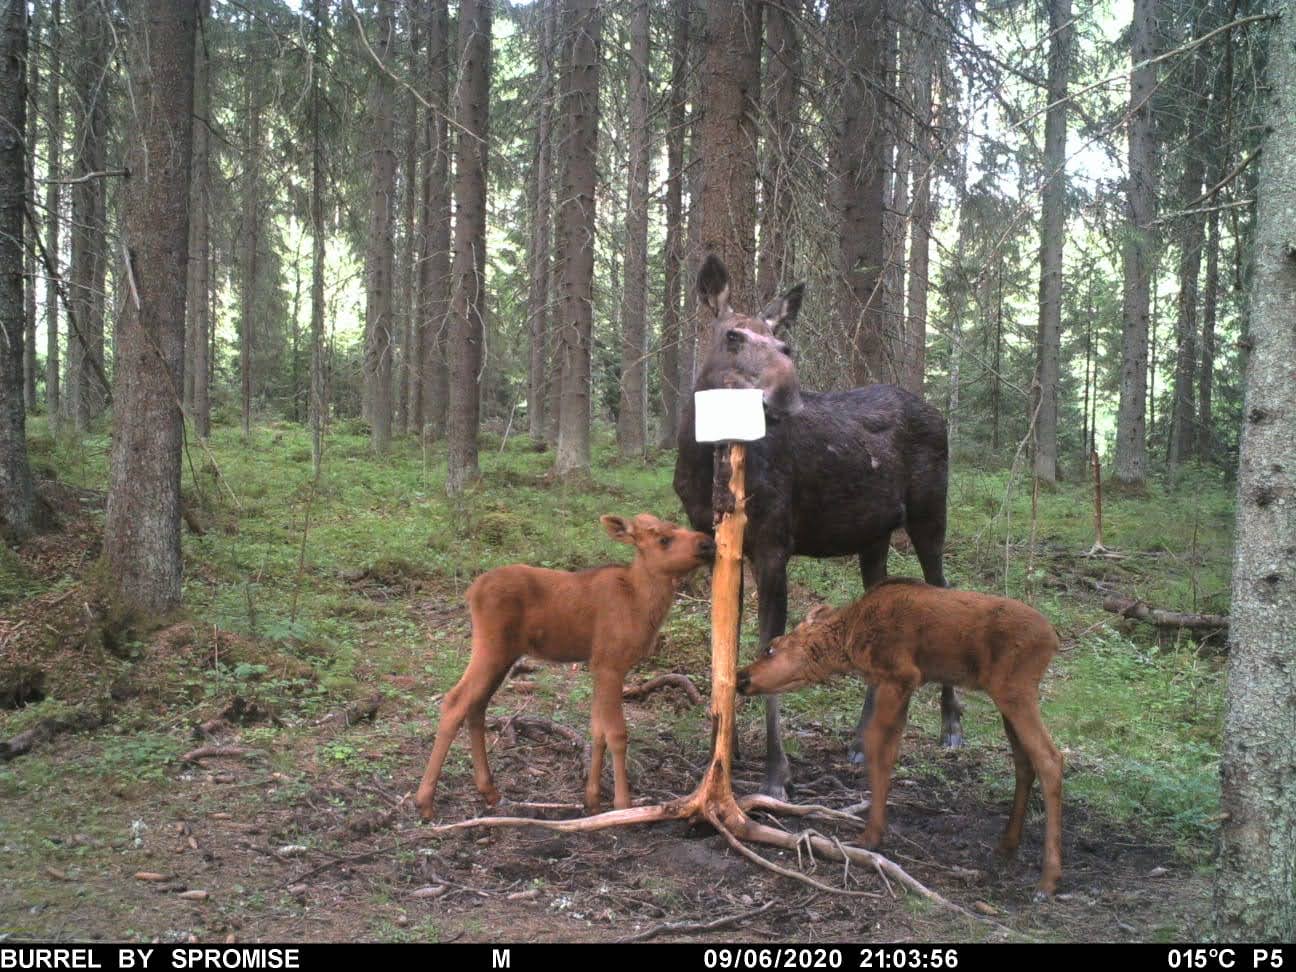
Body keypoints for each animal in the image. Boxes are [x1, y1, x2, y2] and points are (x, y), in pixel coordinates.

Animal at [414, 514, 716, 821]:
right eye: (664, 539)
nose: (708, 543)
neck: (642, 603)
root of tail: (471, 591)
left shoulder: (597, 666)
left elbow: (597, 730)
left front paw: (592, 800)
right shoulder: (610, 663)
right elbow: (617, 734)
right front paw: (623, 804)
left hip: (504, 655)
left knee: (477, 706)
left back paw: (489, 790)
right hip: (490, 647)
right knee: (455, 701)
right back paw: (424, 800)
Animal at [674, 254, 961, 801]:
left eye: (784, 342)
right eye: (733, 336)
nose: (785, 393)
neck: (705, 465)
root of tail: (939, 413)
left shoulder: (774, 546)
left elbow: (765, 645)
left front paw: (775, 772)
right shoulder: (717, 544)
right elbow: (725, 647)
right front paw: (721, 756)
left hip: (930, 514)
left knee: (943, 589)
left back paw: (951, 724)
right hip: (873, 536)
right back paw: (863, 738)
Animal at [737, 579, 1064, 896]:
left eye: (771, 648)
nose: (741, 676)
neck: (850, 639)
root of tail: (1054, 639)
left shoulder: (899, 675)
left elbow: (875, 747)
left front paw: (870, 836)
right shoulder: (902, 684)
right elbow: (890, 751)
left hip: (1015, 689)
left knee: (1050, 758)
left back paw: (1048, 880)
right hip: (1005, 696)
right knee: (1024, 761)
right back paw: (1008, 844)